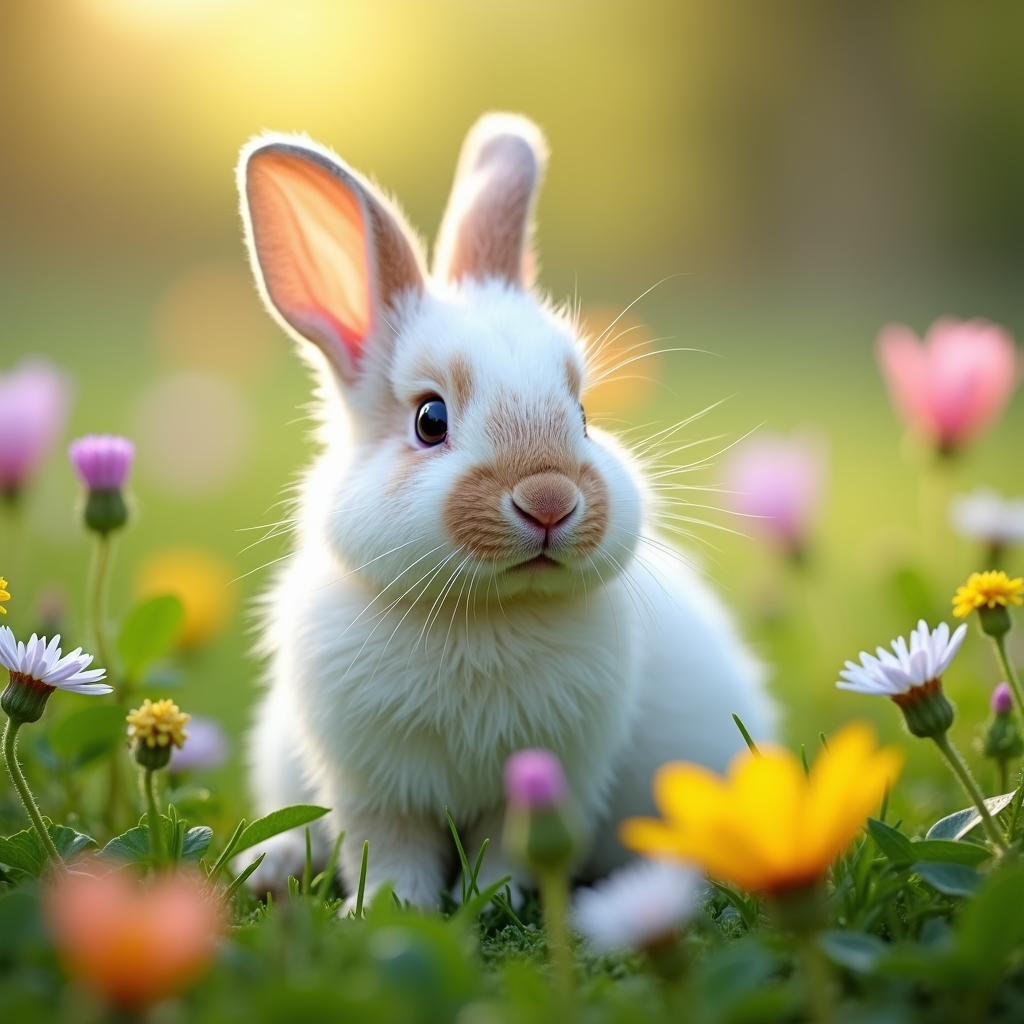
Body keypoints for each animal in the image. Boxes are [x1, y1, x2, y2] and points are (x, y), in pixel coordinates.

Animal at [234, 116, 774, 909]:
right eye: (430, 420)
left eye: (583, 416)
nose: (550, 500)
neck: (483, 613)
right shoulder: (373, 789)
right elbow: (389, 853)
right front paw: (389, 909)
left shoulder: (554, 776)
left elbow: (507, 854)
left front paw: (494, 903)